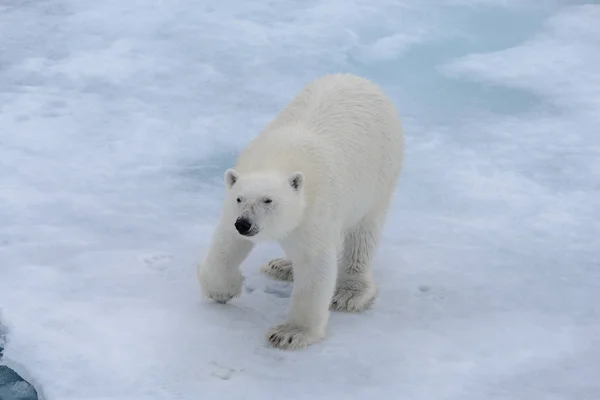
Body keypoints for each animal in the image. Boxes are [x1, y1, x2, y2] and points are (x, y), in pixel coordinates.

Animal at [197, 72, 404, 350]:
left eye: (268, 200)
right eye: (239, 198)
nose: (245, 224)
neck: (280, 158)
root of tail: (359, 78)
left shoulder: (316, 208)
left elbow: (314, 261)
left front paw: (290, 333)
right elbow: (227, 243)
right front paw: (223, 289)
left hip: (380, 173)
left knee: (363, 233)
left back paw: (350, 292)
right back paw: (281, 265)